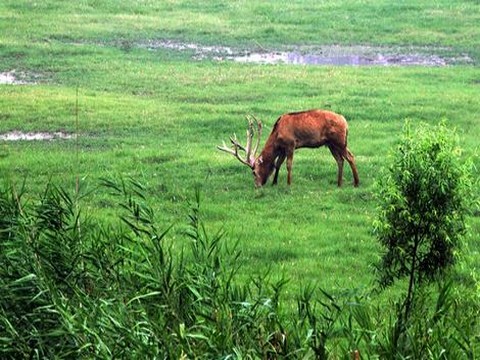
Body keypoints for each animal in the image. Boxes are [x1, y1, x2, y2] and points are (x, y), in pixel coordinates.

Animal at [218, 109, 360, 188]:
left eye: (254, 172)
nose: (257, 185)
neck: (277, 135)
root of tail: (345, 121)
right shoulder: (282, 148)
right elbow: (278, 164)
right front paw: (274, 182)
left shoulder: (290, 144)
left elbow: (288, 164)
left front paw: (288, 184)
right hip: (331, 144)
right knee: (340, 160)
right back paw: (339, 183)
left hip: (339, 141)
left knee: (350, 157)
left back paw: (356, 183)